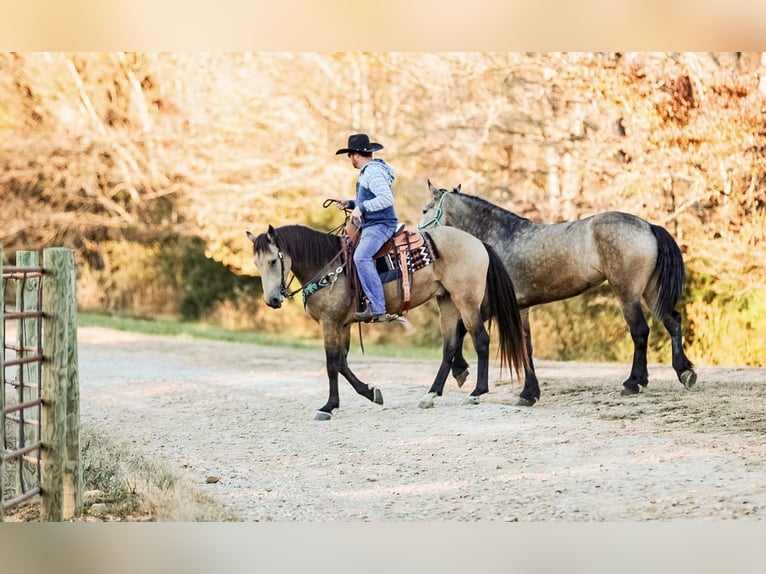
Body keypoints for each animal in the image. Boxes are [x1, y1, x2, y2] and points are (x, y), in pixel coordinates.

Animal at [249, 223, 532, 420]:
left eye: (273, 260)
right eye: (257, 263)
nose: (272, 300)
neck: (328, 266)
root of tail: (478, 243)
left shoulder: (330, 323)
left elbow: (331, 365)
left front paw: (328, 406)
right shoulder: (343, 323)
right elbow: (341, 363)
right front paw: (371, 392)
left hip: (466, 301)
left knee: (481, 340)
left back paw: (477, 393)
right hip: (447, 302)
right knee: (450, 347)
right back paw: (430, 395)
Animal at [416, 182, 700, 408]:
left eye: (425, 209)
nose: (419, 237)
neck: (499, 238)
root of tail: (649, 226)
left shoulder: (487, 305)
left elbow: (464, 332)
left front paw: (462, 373)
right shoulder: (519, 307)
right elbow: (525, 346)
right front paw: (528, 393)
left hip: (627, 294)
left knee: (640, 332)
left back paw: (634, 382)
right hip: (650, 292)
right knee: (672, 322)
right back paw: (684, 372)